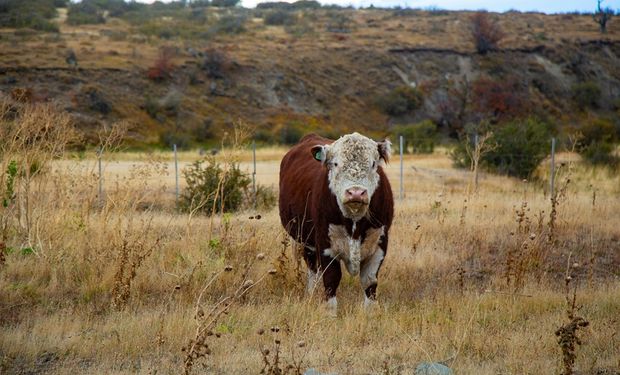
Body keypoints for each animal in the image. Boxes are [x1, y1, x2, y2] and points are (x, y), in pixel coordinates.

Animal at [280, 133, 394, 314]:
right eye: (335, 163)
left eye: (373, 163)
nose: (356, 192)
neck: (354, 222)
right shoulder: (325, 244)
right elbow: (331, 279)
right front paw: (331, 313)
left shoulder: (380, 243)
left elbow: (369, 280)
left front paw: (370, 313)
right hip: (307, 242)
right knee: (312, 269)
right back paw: (311, 294)